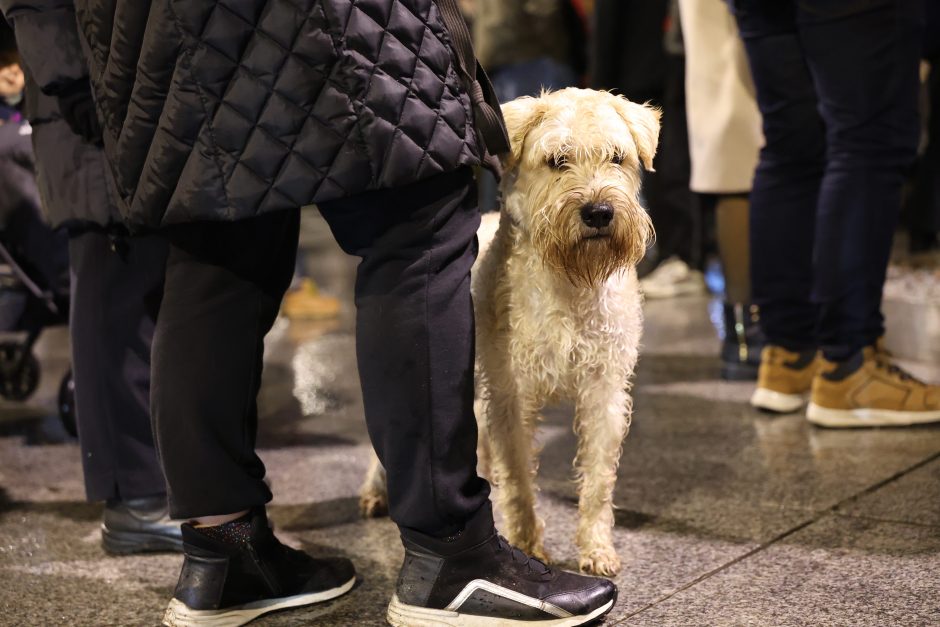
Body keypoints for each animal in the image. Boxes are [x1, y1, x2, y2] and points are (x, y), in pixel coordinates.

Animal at [360, 89, 660, 580]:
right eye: (557, 160)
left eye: (617, 157)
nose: (599, 212)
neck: (568, 283)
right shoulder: (513, 393)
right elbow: (521, 478)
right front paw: (526, 544)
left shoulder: (604, 392)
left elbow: (598, 482)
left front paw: (597, 549)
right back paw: (375, 492)